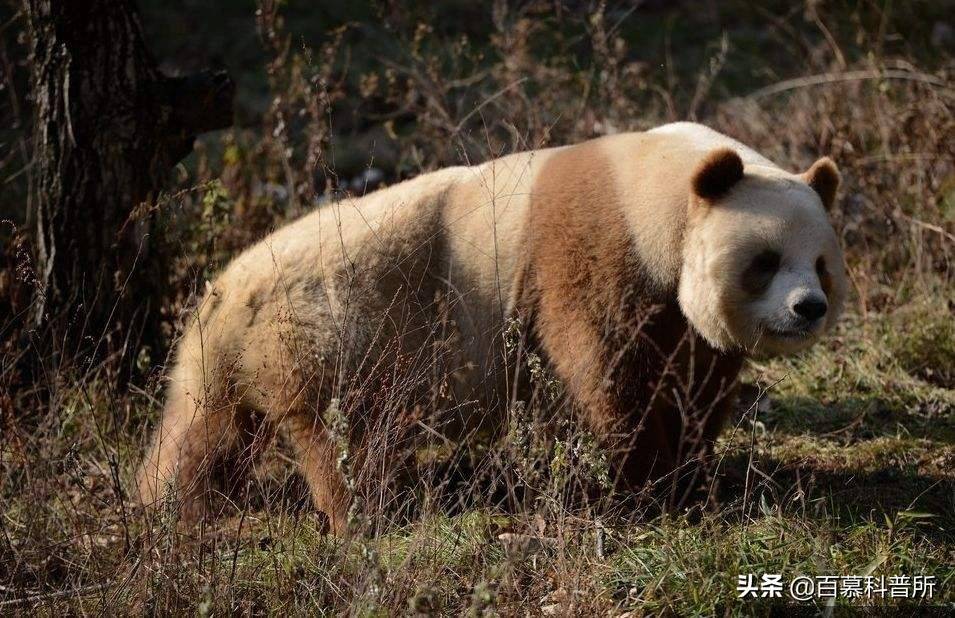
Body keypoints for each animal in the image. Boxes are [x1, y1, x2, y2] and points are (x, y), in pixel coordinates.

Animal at [138, 120, 848, 528]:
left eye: (821, 264)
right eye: (765, 261)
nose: (807, 308)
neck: (659, 186)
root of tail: (228, 292)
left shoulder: (678, 309)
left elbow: (694, 379)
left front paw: (690, 475)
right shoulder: (592, 248)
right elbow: (608, 367)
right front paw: (642, 482)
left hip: (230, 355)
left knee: (204, 429)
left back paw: (171, 503)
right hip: (327, 325)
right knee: (337, 433)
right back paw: (368, 512)